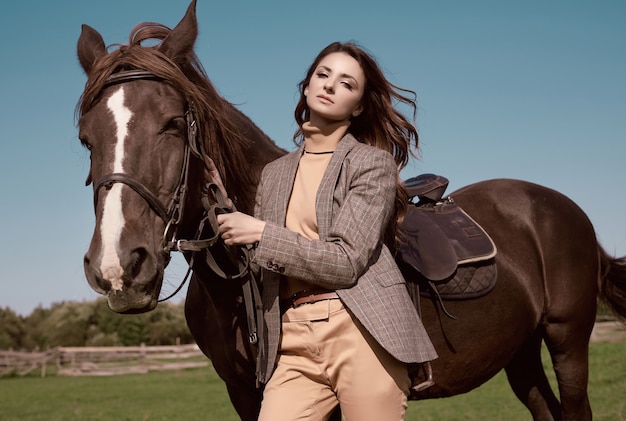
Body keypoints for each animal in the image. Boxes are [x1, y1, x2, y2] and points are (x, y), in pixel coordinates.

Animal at [75, 1, 620, 418]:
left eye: (171, 123)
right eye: (85, 138)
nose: (119, 268)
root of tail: (559, 206)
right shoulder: (245, 393)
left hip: (567, 339)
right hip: (520, 352)